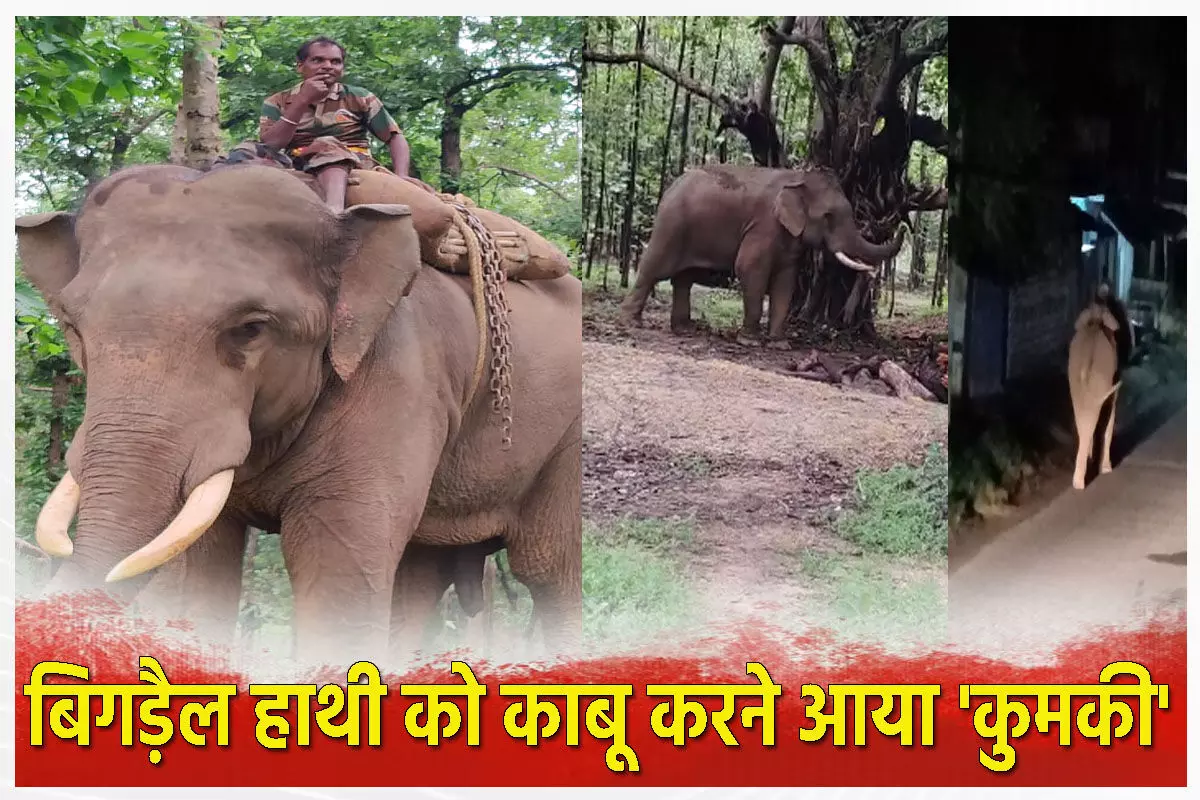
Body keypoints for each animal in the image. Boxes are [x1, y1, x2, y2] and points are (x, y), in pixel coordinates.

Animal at [16, 162, 583, 665]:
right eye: (73, 324)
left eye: (250, 328)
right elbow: (201, 569)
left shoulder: (399, 377)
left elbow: (339, 576)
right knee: (420, 573)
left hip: (564, 440)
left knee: (548, 571)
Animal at [619, 165, 906, 348]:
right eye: (828, 216)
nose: (902, 225)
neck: (798, 178)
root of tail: (671, 186)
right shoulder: (763, 226)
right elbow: (749, 269)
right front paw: (750, 340)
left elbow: (785, 282)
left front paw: (780, 344)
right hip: (671, 225)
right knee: (654, 267)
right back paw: (632, 322)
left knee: (684, 279)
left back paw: (685, 329)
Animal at [1067, 286, 1123, 490]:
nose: (1103, 290)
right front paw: (1105, 469)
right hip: (1100, 376)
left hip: (1075, 376)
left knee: (1082, 417)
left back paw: (1079, 480)